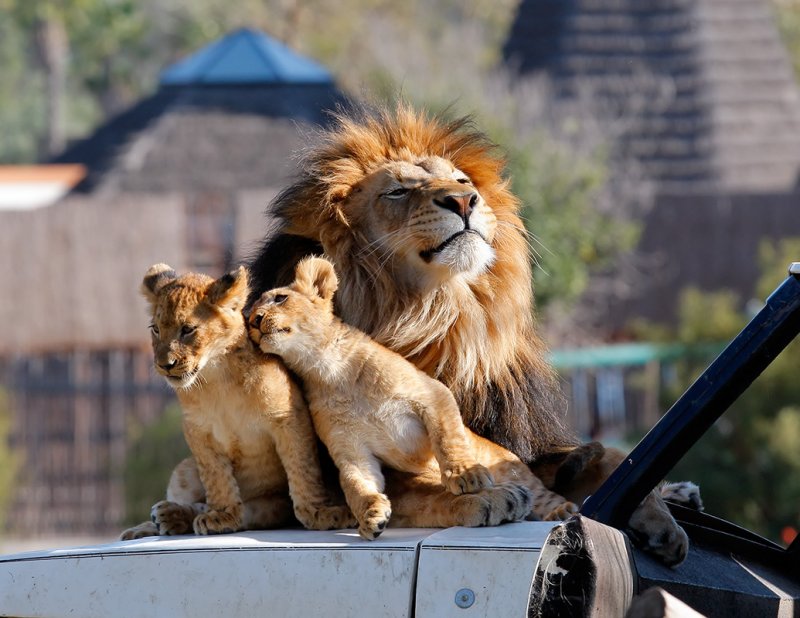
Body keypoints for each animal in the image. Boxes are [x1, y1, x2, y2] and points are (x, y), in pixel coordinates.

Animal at [248, 103, 688, 560]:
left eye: (462, 181)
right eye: (397, 191)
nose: (463, 200)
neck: (443, 322)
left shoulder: (522, 446)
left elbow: (613, 457)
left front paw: (661, 521)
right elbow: (419, 490)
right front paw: (482, 497)